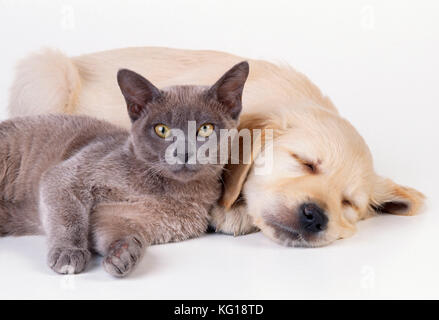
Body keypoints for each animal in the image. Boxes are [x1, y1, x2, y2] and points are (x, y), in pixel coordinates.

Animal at [0, 61, 249, 276]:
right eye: (162, 130)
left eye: (205, 129)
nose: (183, 152)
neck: (168, 191)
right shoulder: (70, 174)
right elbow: (68, 214)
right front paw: (69, 253)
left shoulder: (123, 215)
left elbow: (115, 230)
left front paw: (123, 253)